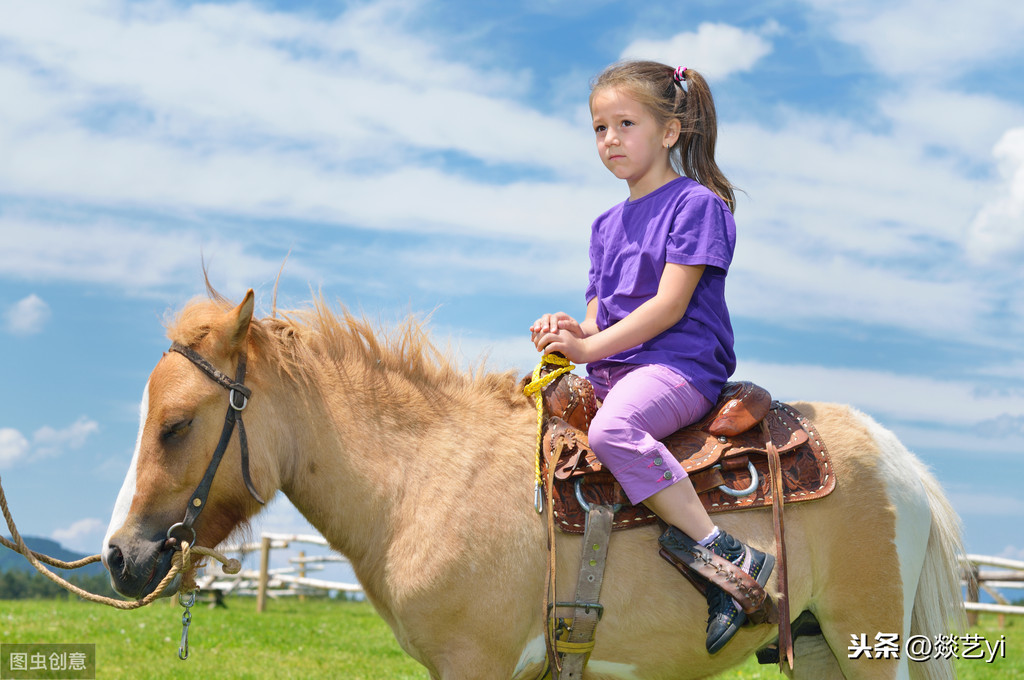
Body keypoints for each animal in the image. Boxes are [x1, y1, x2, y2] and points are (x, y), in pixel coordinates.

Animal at [99, 290, 962, 680]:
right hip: (818, 647)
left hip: (865, 645)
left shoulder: (475, 664)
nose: (119, 557)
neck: (424, 477)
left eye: (176, 425)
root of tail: (898, 459)